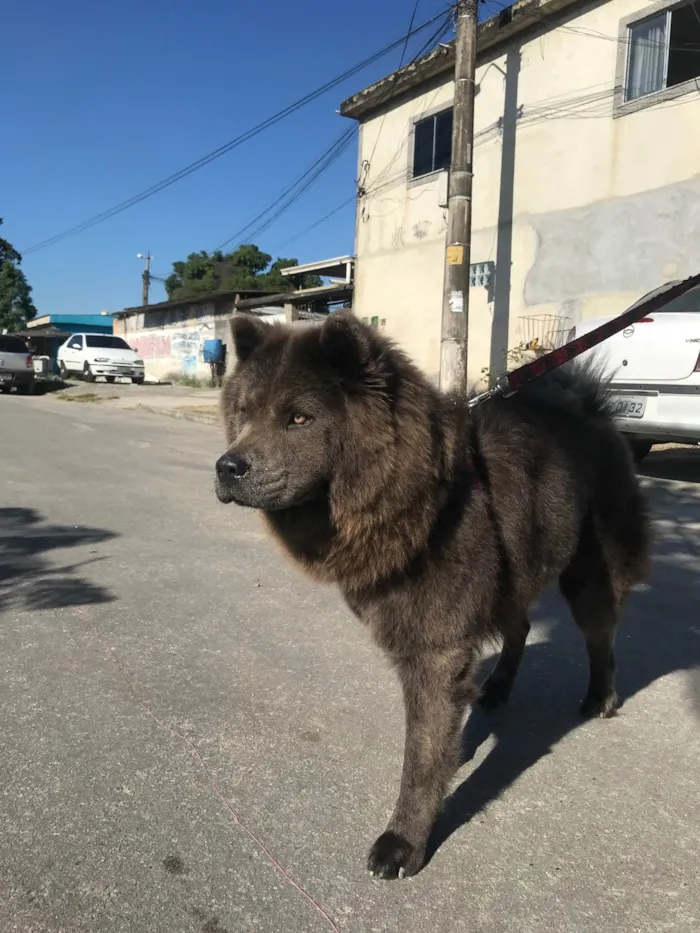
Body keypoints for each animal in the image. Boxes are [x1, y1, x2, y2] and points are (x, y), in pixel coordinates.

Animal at [215, 314, 652, 880]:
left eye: (298, 418)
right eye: (244, 414)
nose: (227, 467)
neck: (424, 497)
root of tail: (593, 413)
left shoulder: (436, 647)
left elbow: (421, 756)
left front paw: (403, 841)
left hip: (587, 575)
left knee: (601, 635)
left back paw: (600, 698)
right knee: (520, 628)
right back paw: (497, 689)